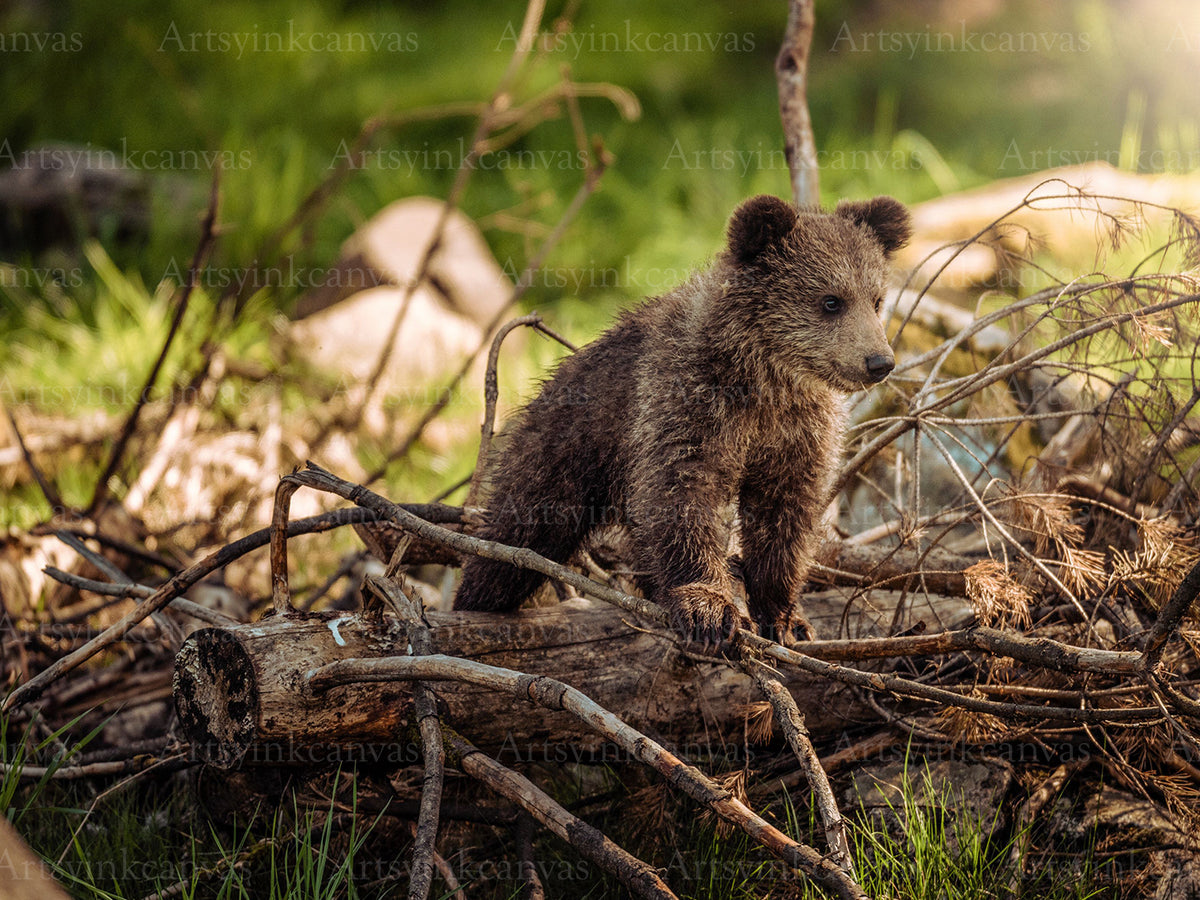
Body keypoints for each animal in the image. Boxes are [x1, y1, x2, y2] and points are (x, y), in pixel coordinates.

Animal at [454, 194, 911, 646]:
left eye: (876, 299)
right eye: (831, 300)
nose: (879, 362)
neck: (764, 378)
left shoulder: (797, 430)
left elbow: (785, 512)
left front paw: (786, 618)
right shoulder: (688, 401)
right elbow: (682, 492)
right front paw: (709, 608)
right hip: (563, 451)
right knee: (515, 538)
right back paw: (476, 599)